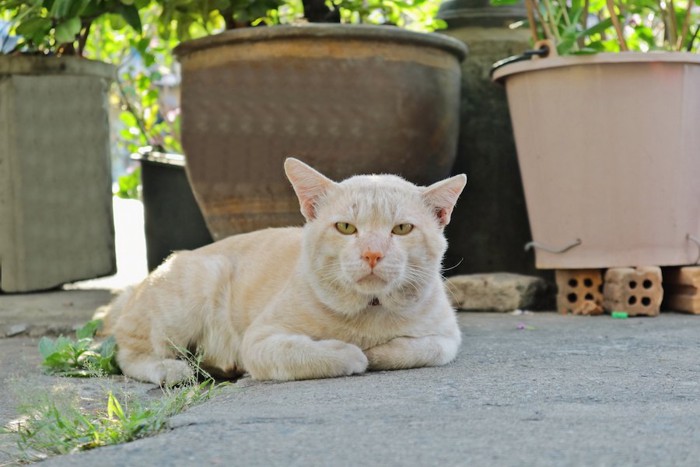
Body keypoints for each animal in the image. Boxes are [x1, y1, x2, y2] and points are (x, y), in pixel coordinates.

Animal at [106, 159, 468, 386]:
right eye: (346, 227)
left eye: (402, 229)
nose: (372, 253)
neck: (370, 308)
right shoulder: (259, 341)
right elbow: (316, 353)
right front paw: (352, 352)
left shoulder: (448, 338)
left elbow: (422, 349)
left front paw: (375, 352)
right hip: (198, 284)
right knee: (129, 354)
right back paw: (173, 370)